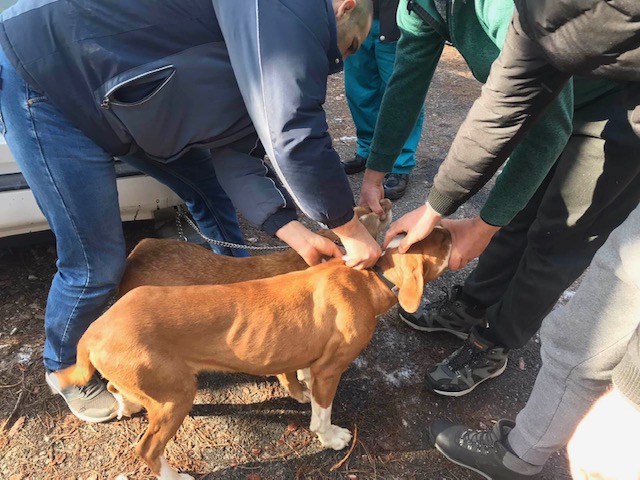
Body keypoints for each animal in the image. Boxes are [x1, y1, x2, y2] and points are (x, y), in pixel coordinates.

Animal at [57, 228, 452, 476]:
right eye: (439, 240)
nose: (451, 229)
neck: (369, 276)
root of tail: (94, 330)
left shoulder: (311, 362)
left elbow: (300, 378)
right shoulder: (330, 371)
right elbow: (321, 414)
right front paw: (330, 438)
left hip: (152, 387)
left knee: (115, 387)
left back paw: (127, 405)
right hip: (176, 397)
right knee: (147, 450)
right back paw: (175, 475)